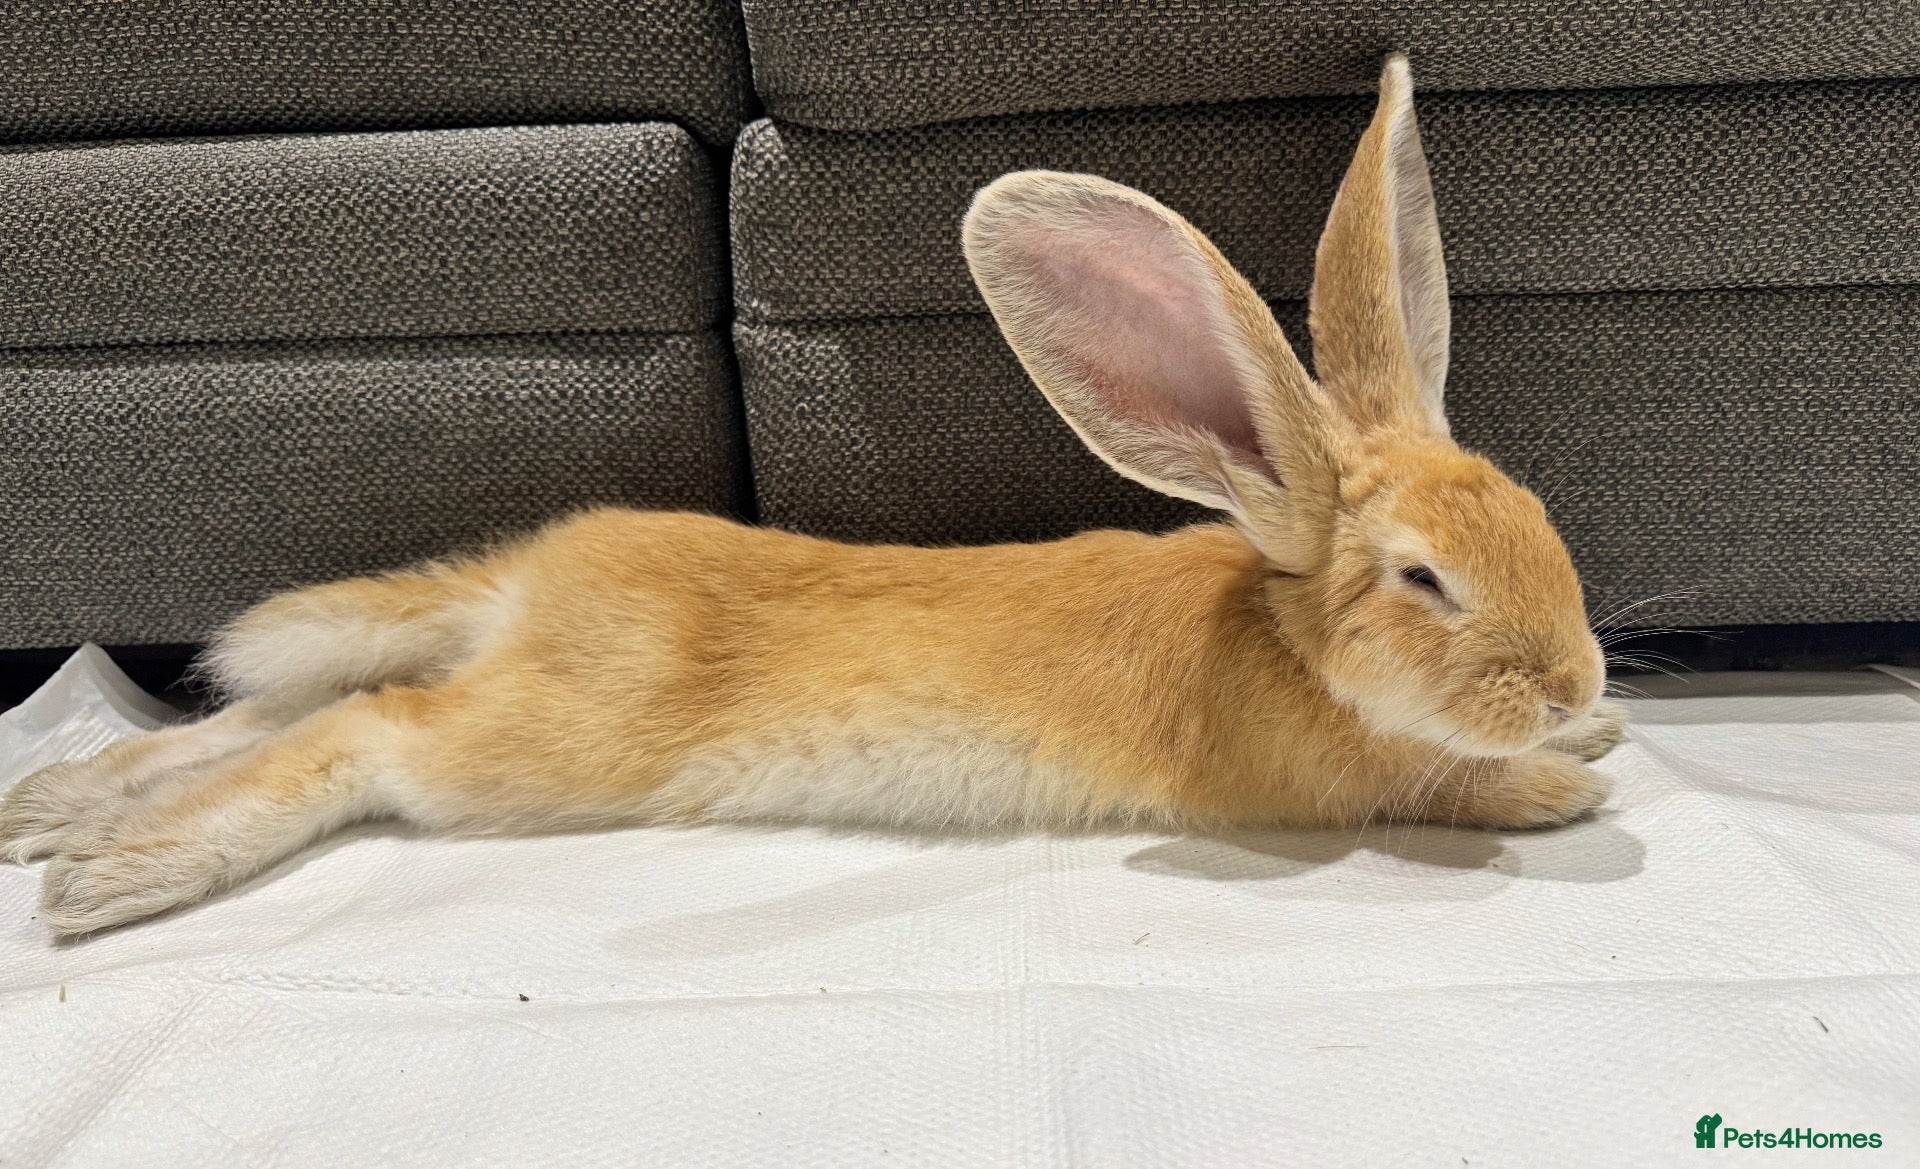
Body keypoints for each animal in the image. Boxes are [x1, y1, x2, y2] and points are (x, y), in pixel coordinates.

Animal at [1, 54, 1626, 936]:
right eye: (1422, 579)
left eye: (1539, 513)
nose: (1572, 679)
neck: (1293, 638)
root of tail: (536, 580)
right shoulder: (1330, 782)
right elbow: (1449, 788)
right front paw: (1569, 782)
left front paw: (1596, 735)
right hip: (542, 747)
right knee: (365, 730)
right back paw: (112, 876)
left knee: (279, 706)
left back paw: (56, 806)